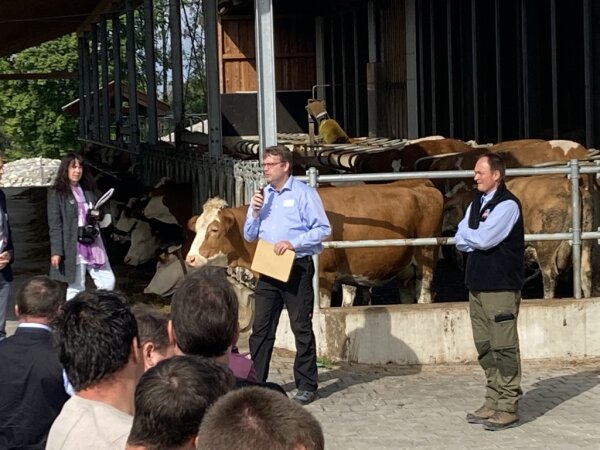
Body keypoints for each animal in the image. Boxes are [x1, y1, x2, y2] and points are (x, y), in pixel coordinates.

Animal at [185, 179, 442, 306]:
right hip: (403, 269)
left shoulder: (325, 277)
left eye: (214, 229)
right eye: (197, 229)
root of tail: (422, 184)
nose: (190, 258)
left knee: (425, 292)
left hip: (426, 255)